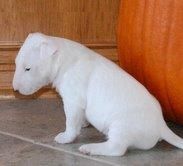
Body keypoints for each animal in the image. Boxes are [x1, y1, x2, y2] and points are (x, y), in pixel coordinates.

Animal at [13, 32, 183, 156]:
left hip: (121, 127)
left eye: (28, 68)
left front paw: (65, 137)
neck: (63, 58)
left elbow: (71, 123)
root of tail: (161, 126)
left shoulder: (73, 102)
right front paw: (84, 124)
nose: (14, 89)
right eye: (16, 64)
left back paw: (89, 148)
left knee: (117, 149)